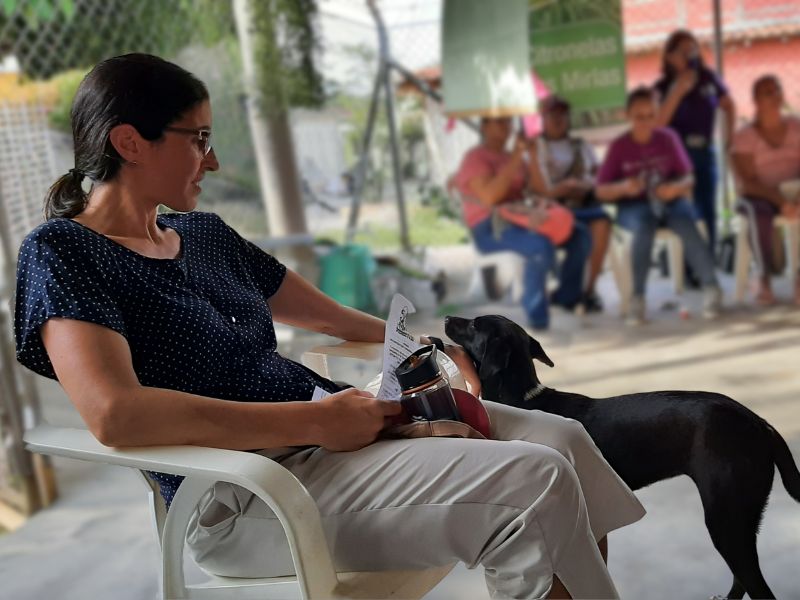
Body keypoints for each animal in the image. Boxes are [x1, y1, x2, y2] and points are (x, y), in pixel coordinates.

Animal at [444, 314, 800, 600]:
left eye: (474, 324)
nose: (447, 317)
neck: (524, 398)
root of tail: (761, 424)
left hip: (726, 516)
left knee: (757, 586)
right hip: (738, 519)